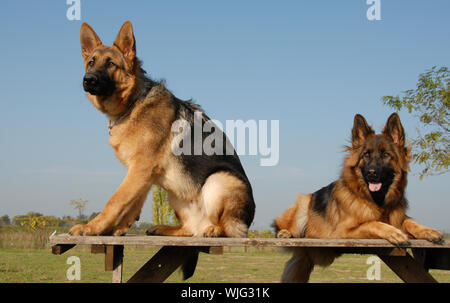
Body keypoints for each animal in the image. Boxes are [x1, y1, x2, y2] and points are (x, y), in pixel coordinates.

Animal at [69, 21, 253, 276]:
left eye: (111, 64)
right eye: (91, 62)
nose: (88, 79)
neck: (133, 102)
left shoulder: (141, 169)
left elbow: (115, 201)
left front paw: (92, 228)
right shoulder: (143, 174)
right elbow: (132, 204)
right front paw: (118, 229)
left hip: (218, 180)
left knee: (230, 231)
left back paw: (215, 231)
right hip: (175, 194)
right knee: (190, 230)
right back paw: (165, 229)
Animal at [272, 113, 442, 282]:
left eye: (386, 154)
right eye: (366, 155)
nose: (372, 173)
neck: (377, 201)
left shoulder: (398, 217)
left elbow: (410, 222)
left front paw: (429, 231)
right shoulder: (343, 232)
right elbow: (371, 223)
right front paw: (394, 232)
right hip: (304, 202)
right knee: (282, 226)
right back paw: (285, 233)